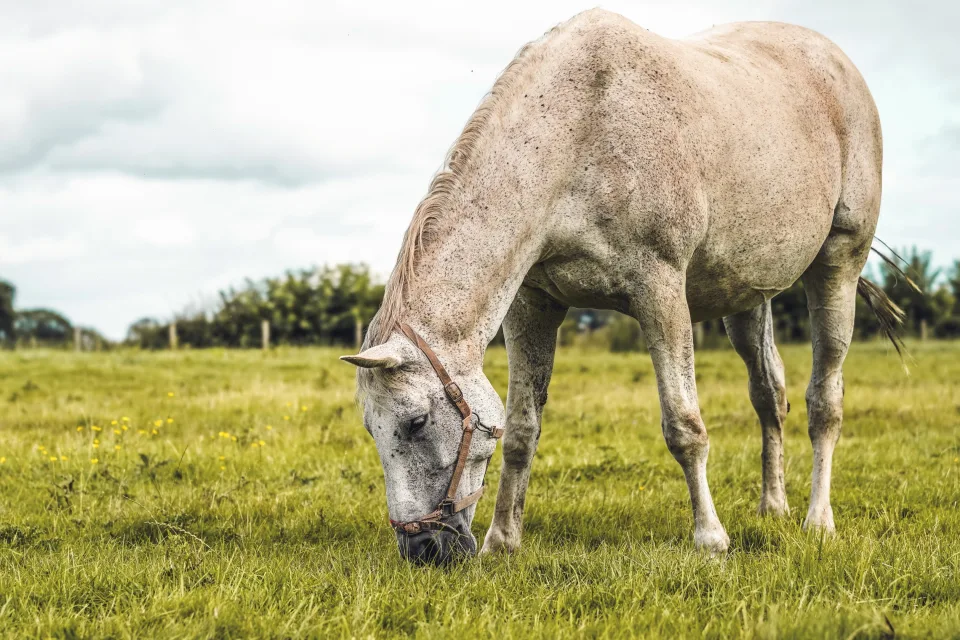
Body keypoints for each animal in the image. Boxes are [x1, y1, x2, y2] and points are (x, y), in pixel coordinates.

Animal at [341, 9, 902, 565]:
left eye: (416, 422)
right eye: (371, 428)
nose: (423, 549)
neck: (582, 129)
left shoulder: (661, 292)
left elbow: (684, 426)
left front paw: (710, 540)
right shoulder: (532, 305)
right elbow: (521, 429)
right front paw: (503, 541)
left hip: (837, 268)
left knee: (823, 401)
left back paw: (818, 521)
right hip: (747, 298)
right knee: (770, 395)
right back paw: (773, 508)